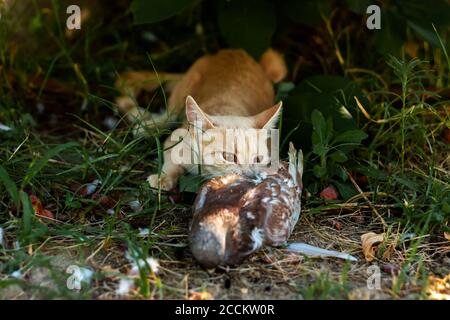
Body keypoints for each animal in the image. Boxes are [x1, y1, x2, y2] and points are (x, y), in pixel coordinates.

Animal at [115, 48, 284, 191]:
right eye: (228, 157)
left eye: (258, 159)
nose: (250, 177)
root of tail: (234, 51)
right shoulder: (175, 141)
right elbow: (171, 161)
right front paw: (164, 177)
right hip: (181, 93)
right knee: (168, 114)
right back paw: (148, 126)